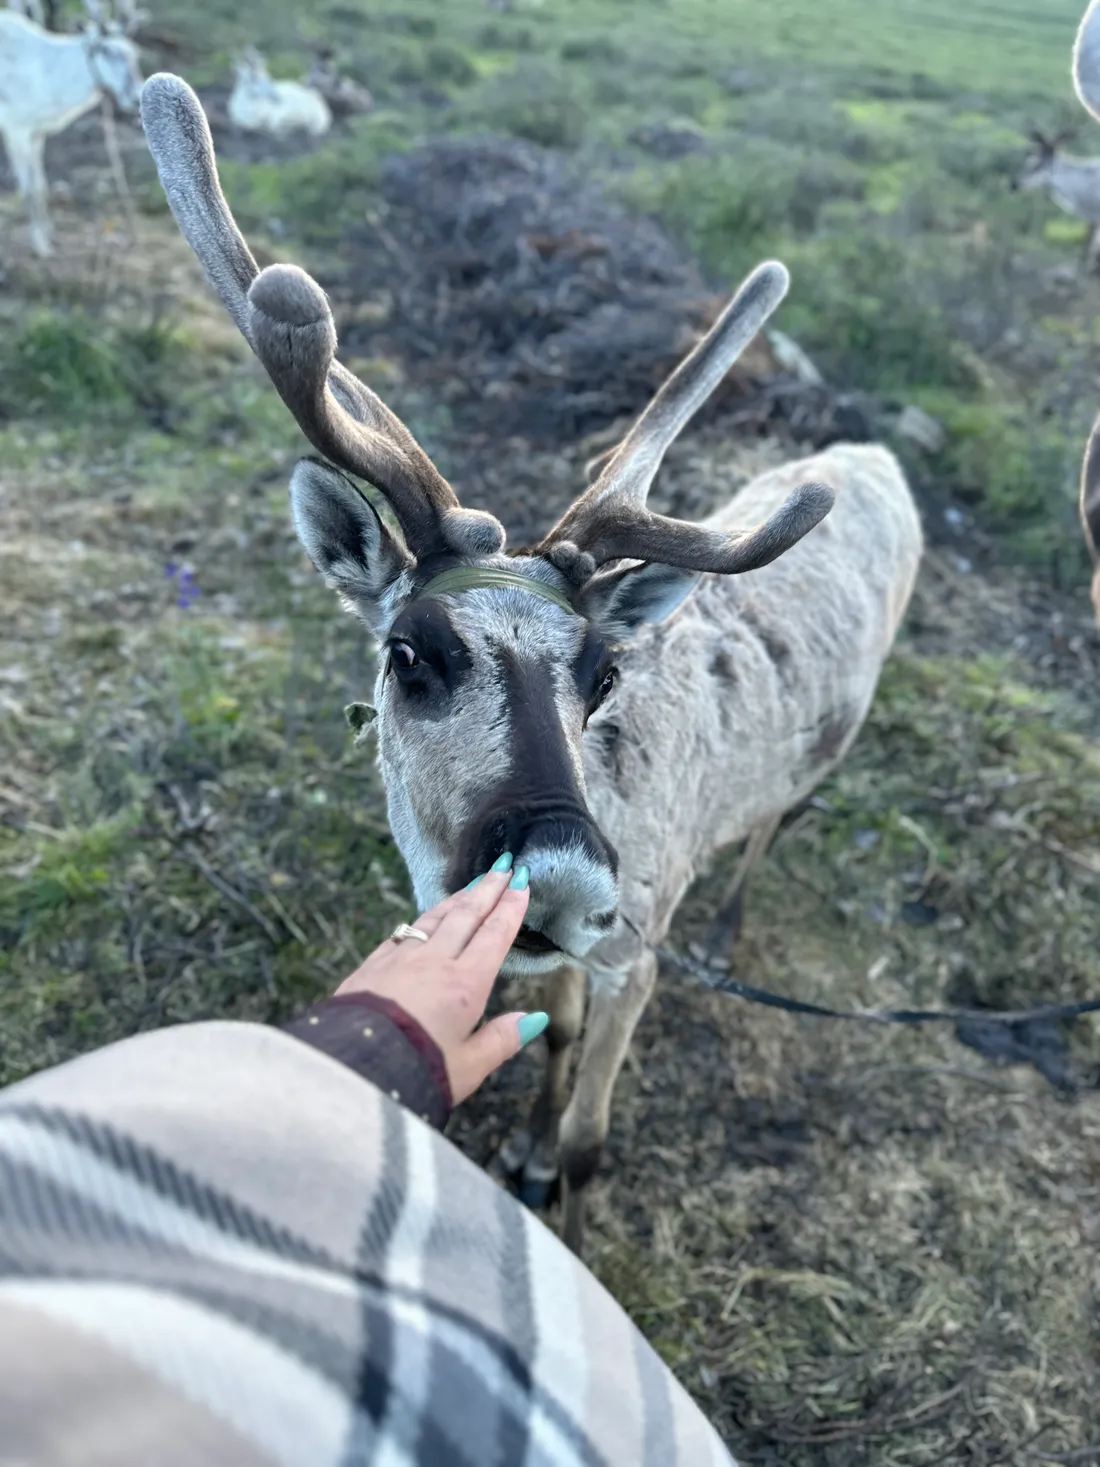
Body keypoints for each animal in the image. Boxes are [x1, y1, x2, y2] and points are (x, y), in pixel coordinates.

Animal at [0, 3, 142, 255]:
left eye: (135, 53)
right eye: (106, 50)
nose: (136, 97)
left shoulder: (36, 134)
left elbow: (41, 185)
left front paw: (49, 234)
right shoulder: (15, 129)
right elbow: (28, 189)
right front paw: (40, 245)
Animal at [141, 73, 923, 1255]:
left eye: (603, 674)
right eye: (408, 651)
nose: (560, 877)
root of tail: (878, 456)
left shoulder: (633, 951)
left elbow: (595, 1140)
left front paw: (568, 1189)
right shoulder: (567, 960)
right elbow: (550, 1041)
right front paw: (525, 1146)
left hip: (833, 742)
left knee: (777, 819)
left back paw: (733, 924)